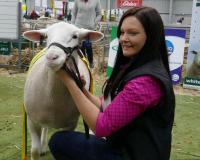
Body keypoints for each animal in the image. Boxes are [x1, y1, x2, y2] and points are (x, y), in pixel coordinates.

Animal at [23, 21, 103, 160]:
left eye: (75, 36)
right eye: (46, 36)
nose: (51, 57)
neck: (53, 98)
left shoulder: (70, 125)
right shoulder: (32, 120)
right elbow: (34, 151)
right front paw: (39, 150)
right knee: (45, 127)